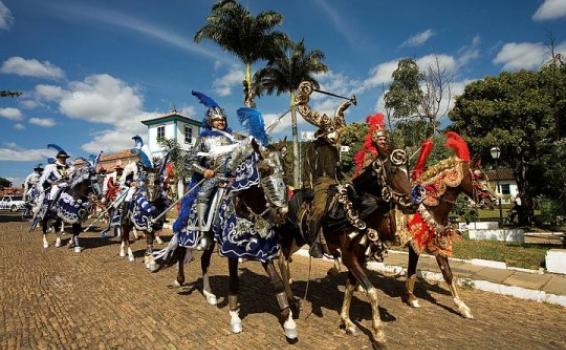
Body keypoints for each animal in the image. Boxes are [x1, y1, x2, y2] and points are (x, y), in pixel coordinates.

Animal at [278, 147, 420, 344]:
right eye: (392, 170)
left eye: (409, 169)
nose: (412, 204)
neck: (357, 209)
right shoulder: (349, 257)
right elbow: (372, 291)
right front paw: (378, 332)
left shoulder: (359, 258)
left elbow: (350, 288)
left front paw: (347, 322)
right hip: (289, 237)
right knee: (281, 260)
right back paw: (290, 299)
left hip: (298, 240)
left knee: (283, 259)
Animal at [404, 157, 496, 318]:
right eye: (479, 176)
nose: (493, 200)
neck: (430, 206)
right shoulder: (415, 244)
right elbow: (412, 269)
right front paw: (411, 298)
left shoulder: (438, 243)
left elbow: (447, 273)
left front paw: (462, 307)